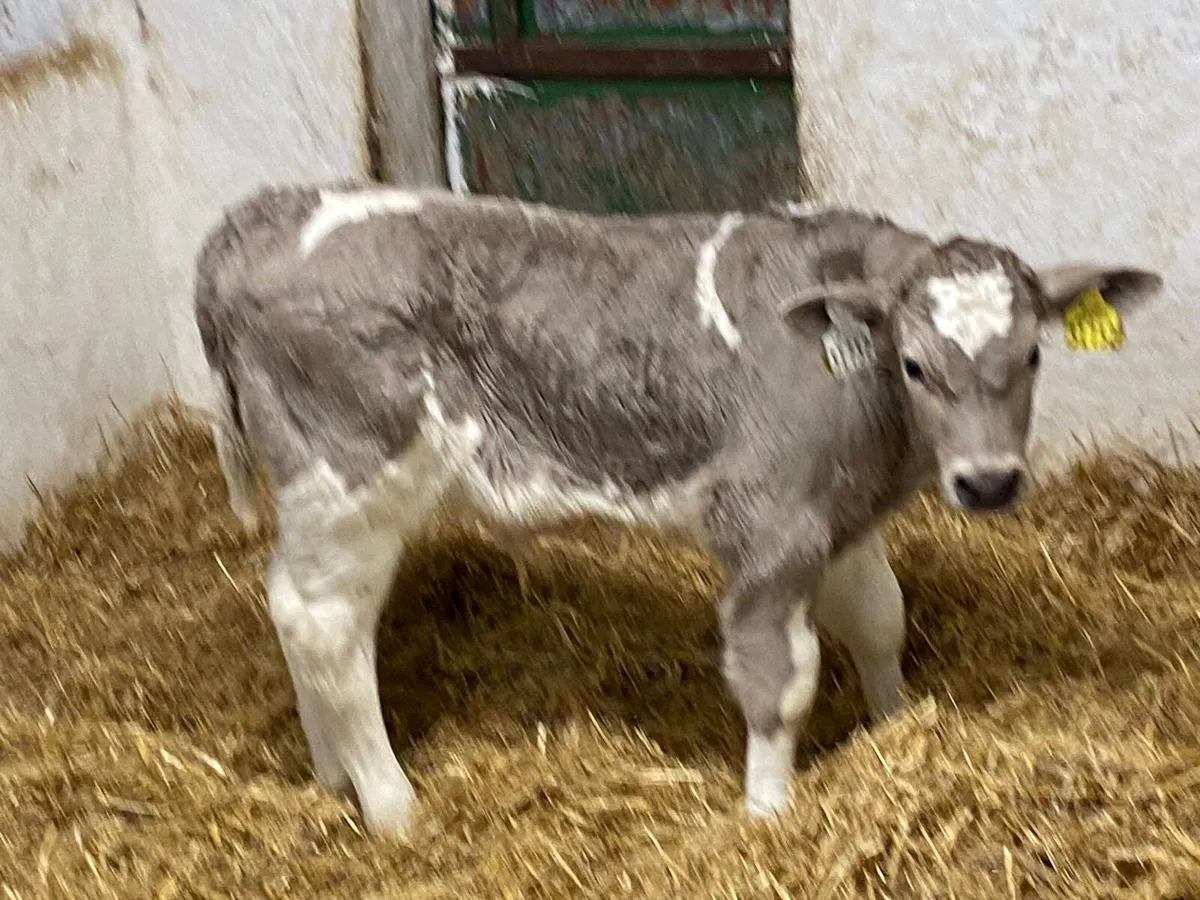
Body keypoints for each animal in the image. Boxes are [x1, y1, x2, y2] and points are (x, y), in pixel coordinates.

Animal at [193, 180, 1162, 836]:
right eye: (915, 364)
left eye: (1033, 355)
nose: (989, 483)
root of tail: (265, 213)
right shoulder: (767, 526)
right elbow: (780, 677)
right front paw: (769, 811)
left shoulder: (841, 515)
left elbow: (880, 620)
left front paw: (897, 731)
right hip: (351, 478)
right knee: (326, 626)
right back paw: (393, 806)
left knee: (289, 605)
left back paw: (331, 777)